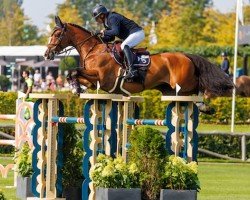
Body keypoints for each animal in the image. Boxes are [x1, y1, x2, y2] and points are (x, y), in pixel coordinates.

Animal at [44, 16, 233, 111]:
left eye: (57, 34)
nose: (47, 54)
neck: (93, 50)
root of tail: (186, 56)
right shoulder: (94, 82)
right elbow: (74, 74)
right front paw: (76, 88)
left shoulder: (101, 78)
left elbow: (74, 71)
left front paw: (75, 88)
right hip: (171, 90)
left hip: (183, 85)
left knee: (199, 86)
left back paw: (205, 105)